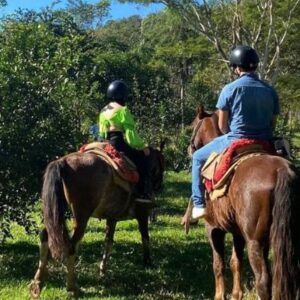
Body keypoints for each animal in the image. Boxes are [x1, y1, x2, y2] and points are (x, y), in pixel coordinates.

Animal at [29, 143, 165, 298]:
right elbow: (145, 238)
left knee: (45, 236)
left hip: (55, 213)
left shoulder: (112, 218)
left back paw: (37, 283)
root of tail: (62, 162)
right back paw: (72, 287)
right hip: (81, 217)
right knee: (72, 246)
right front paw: (147, 262)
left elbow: (108, 243)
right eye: (162, 163)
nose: (159, 186)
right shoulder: (142, 214)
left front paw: (103, 270)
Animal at [188, 105, 298, 300]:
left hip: (255, 241)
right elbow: (235, 262)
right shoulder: (237, 231)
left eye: (194, 125)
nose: (189, 149)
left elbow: (218, 264)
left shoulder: (213, 228)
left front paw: (219, 296)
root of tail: (281, 170)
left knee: (263, 281)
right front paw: (236, 294)